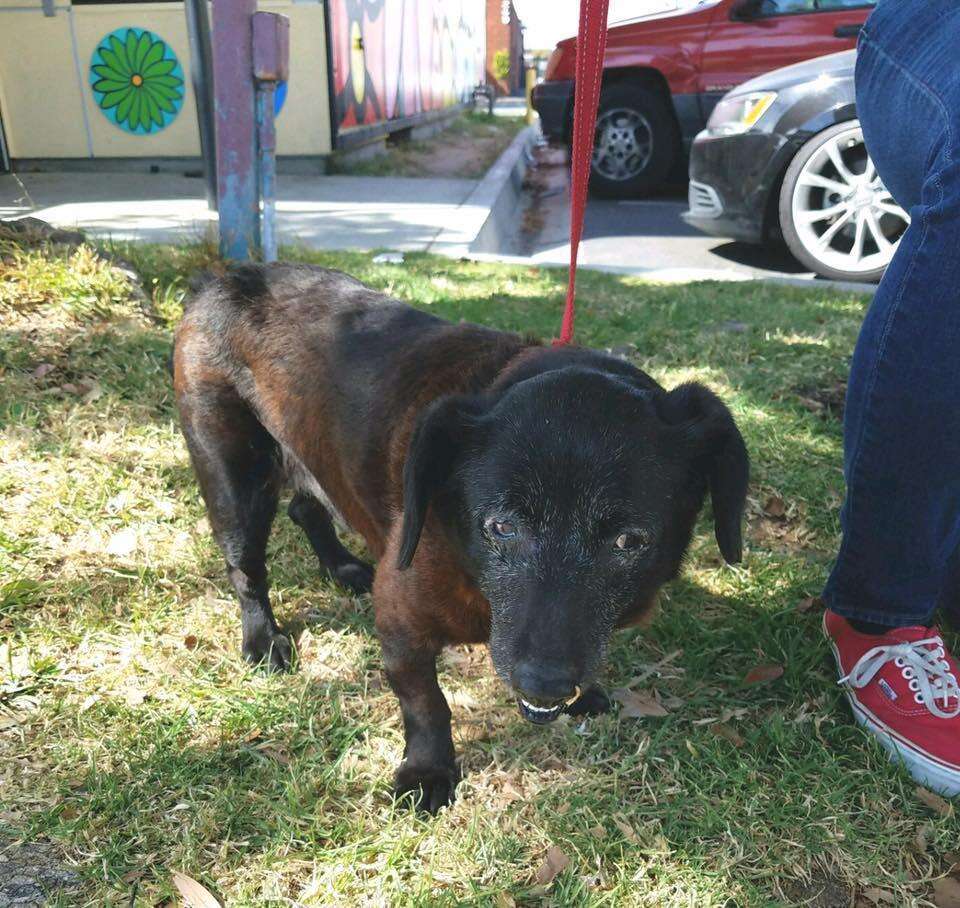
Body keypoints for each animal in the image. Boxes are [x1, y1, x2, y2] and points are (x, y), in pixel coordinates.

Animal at [172, 264, 748, 816]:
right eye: (501, 526)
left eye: (630, 541)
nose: (543, 684)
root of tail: (221, 279)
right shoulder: (400, 620)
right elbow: (427, 702)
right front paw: (428, 771)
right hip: (233, 477)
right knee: (246, 568)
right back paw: (263, 639)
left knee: (305, 505)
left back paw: (342, 567)